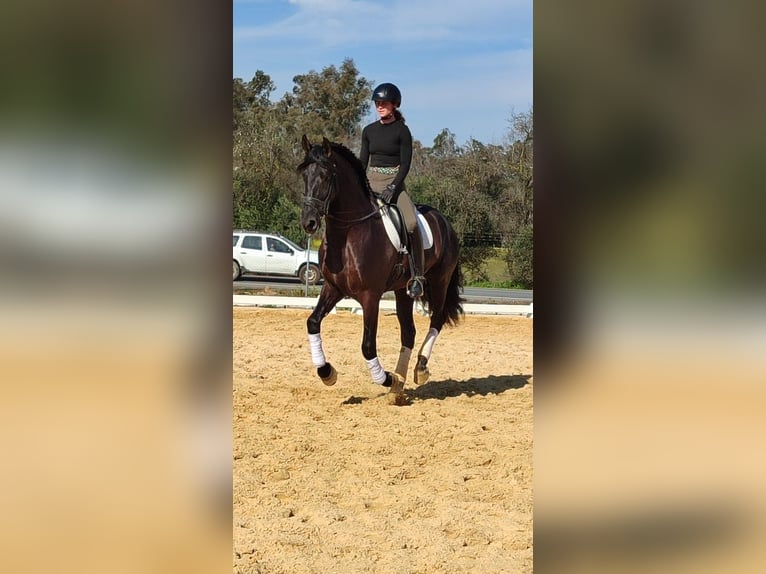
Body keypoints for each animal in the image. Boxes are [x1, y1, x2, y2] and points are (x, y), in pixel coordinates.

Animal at [297, 135, 464, 401]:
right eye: (304, 174)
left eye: (324, 176)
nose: (309, 222)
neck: (349, 233)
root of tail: (444, 221)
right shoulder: (333, 288)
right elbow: (313, 322)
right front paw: (327, 373)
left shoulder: (370, 296)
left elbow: (367, 345)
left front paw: (385, 378)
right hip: (402, 290)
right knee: (409, 332)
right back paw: (398, 386)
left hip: (439, 281)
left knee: (436, 320)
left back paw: (419, 369)